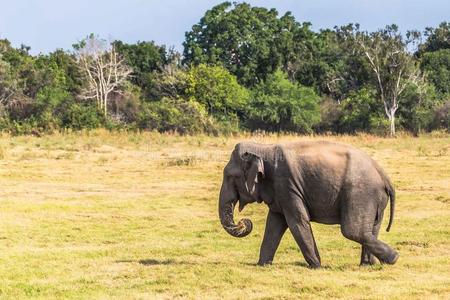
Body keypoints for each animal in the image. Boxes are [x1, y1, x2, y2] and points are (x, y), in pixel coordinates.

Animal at [218, 141, 398, 268]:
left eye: (230, 176)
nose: (243, 222)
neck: (264, 148)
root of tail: (384, 175)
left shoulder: (287, 185)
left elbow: (297, 221)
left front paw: (317, 266)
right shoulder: (281, 191)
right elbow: (274, 223)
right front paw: (262, 265)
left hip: (361, 193)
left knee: (352, 230)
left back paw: (393, 258)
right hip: (374, 199)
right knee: (370, 229)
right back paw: (369, 265)